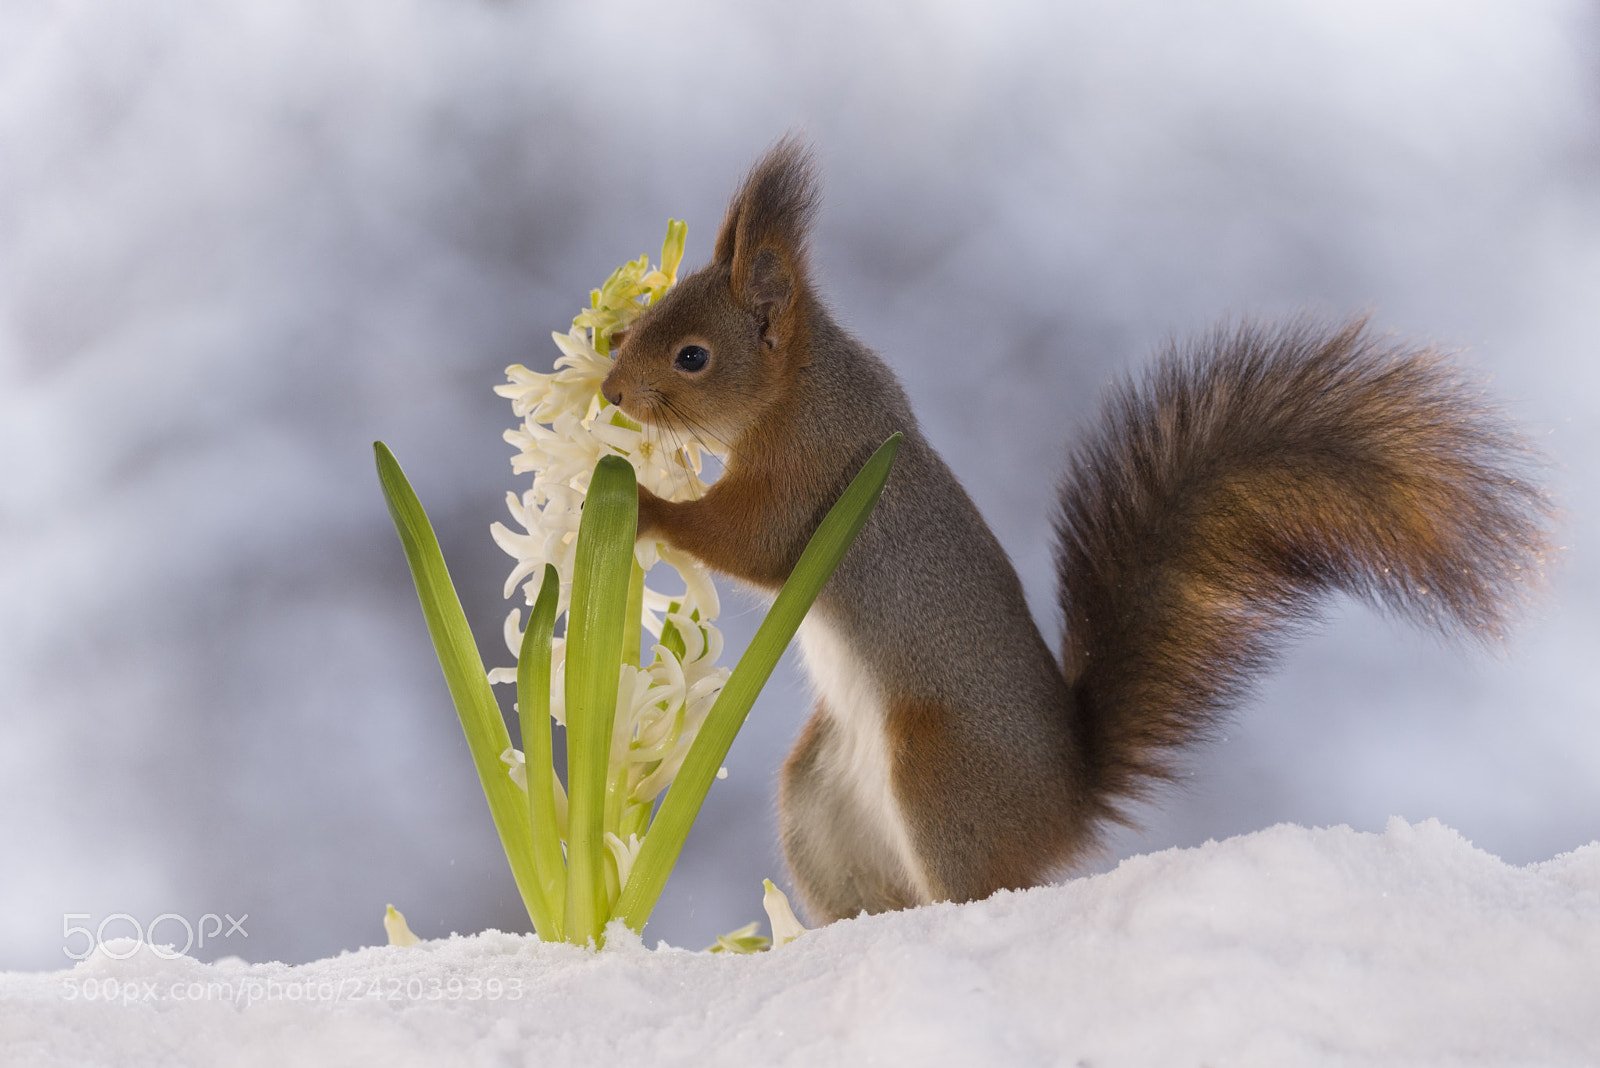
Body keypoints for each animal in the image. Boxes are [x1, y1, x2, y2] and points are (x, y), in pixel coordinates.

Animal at [599, 138, 1552, 924]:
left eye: (692, 356)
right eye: (641, 323)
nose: (609, 390)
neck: (801, 387)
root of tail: (1067, 804)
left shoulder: (812, 479)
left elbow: (750, 541)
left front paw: (643, 503)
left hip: (937, 772)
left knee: (974, 888)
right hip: (817, 798)